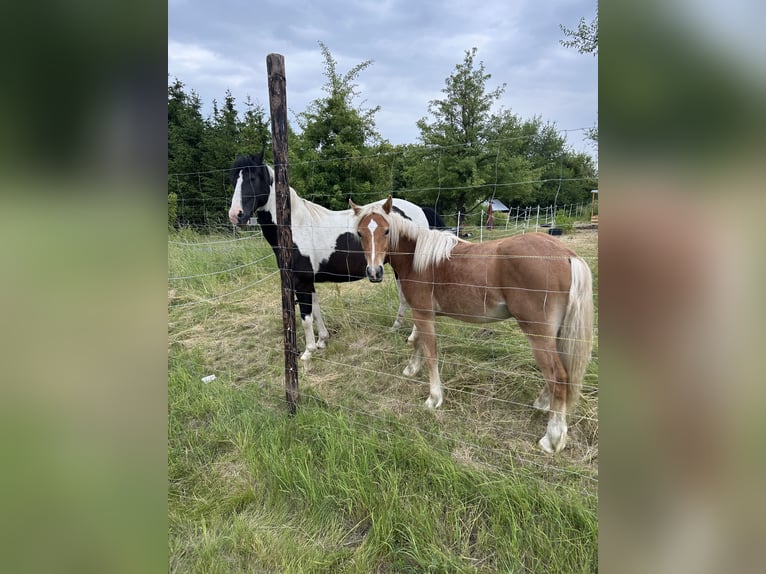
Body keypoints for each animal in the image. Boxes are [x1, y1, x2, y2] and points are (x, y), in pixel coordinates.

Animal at [228, 152, 437, 360]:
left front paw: (308, 352)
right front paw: (322, 341)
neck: (294, 227)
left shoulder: (300, 281)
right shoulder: (307, 281)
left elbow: (306, 317)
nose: (236, 215)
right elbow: (316, 310)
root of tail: (420, 210)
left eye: (253, 178)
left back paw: (412, 338)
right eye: (234, 179)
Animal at [350, 196, 594, 453]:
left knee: (558, 376)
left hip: (537, 334)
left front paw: (434, 398)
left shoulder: (424, 315)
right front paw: (411, 369)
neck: (416, 257)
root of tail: (566, 254)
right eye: (360, 233)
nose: (374, 272)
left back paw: (552, 438)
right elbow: (416, 342)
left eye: (386, 231)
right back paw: (542, 404)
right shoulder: (421, 313)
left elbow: (430, 353)